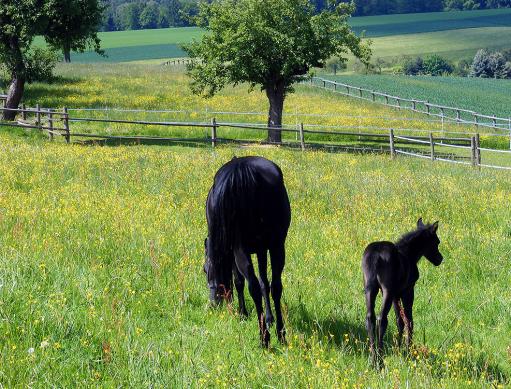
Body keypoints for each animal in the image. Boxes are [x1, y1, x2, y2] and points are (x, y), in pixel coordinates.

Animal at [204, 155, 292, 346]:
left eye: (204, 270)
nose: (214, 303)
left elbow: (238, 281)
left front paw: (242, 313)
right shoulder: (261, 249)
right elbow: (265, 283)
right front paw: (269, 318)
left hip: (241, 250)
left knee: (252, 286)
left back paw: (264, 338)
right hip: (276, 246)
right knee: (275, 286)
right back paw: (280, 334)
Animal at [364, 218, 444, 364]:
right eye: (436, 242)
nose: (440, 259)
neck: (409, 255)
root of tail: (376, 257)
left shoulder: (396, 294)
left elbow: (399, 321)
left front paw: (398, 348)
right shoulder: (408, 290)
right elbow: (408, 320)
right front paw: (408, 350)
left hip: (369, 288)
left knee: (370, 317)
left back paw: (373, 359)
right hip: (387, 290)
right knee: (381, 318)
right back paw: (380, 361)